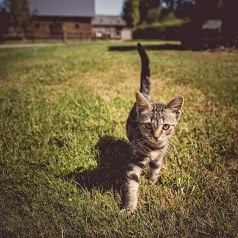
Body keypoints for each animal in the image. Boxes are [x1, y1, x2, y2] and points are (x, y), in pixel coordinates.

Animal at [124, 42, 184, 212]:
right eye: (148, 125)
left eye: (166, 126)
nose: (156, 136)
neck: (153, 148)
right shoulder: (136, 160)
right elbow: (132, 182)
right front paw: (130, 207)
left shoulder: (159, 156)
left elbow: (155, 169)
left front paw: (152, 183)